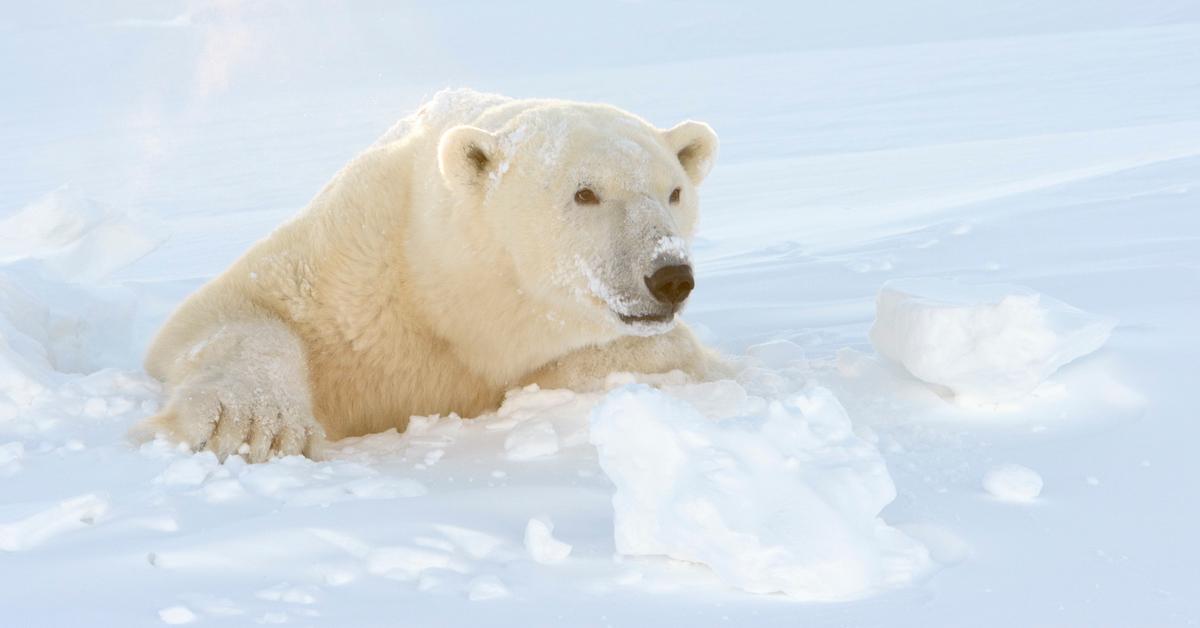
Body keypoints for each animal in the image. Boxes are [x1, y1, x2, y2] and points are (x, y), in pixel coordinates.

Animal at [137, 88, 724, 461]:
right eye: (585, 193)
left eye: (674, 192)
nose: (670, 276)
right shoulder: (353, 257)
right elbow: (229, 310)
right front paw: (254, 425)